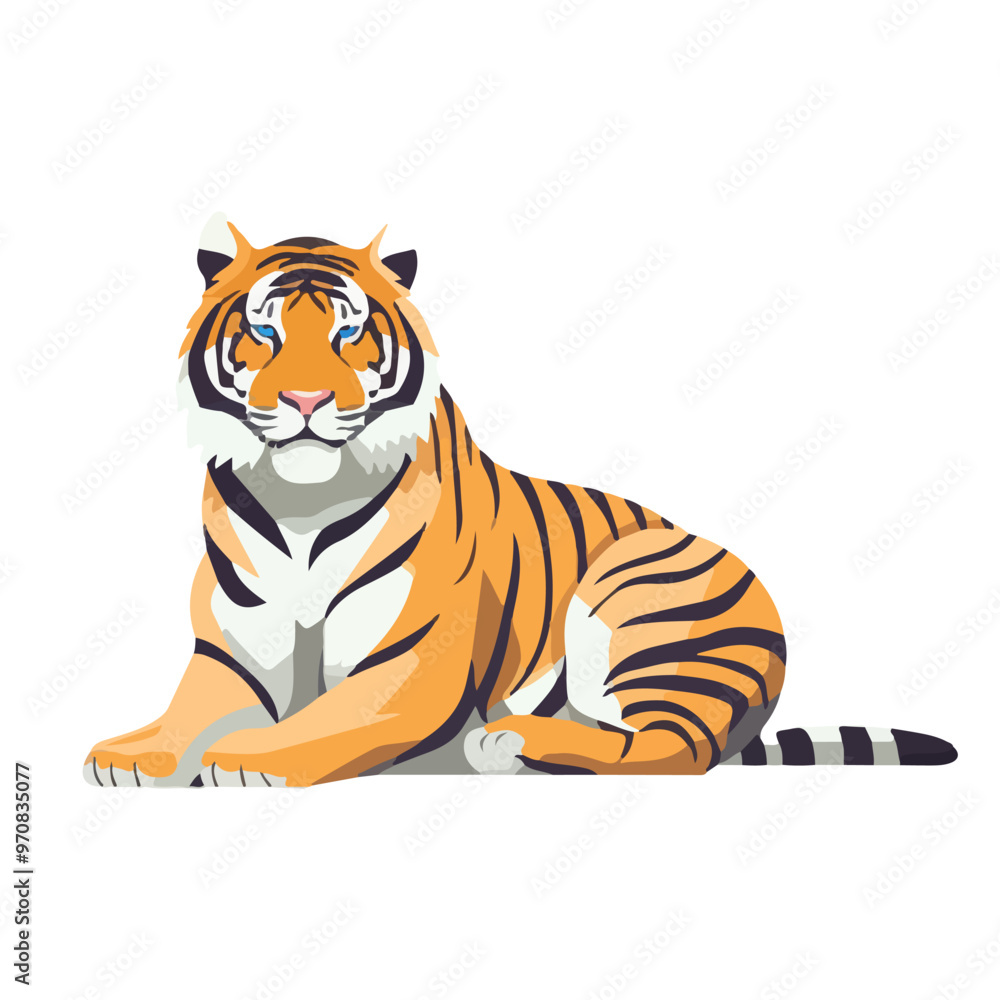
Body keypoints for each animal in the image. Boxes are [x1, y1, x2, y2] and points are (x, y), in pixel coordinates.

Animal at [82, 215, 957, 787]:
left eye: (347, 334)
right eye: (262, 334)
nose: (303, 400)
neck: (304, 503)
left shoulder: (408, 667)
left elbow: (319, 722)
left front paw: (245, 761)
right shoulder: (231, 654)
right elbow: (191, 712)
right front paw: (128, 754)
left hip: (635, 591)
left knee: (670, 750)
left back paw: (509, 744)